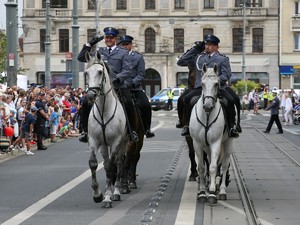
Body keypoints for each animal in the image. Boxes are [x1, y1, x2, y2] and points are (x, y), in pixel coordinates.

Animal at [84, 51, 127, 208]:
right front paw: (97, 194)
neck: (103, 111)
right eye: (86, 73)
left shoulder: (115, 142)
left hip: (124, 142)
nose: (90, 95)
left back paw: (118, 190)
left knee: (119, 162)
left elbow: (112, 167)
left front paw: (108, 197)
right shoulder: (94, 141)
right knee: (108, 163)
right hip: (103, 145)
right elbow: (94, 164)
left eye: (100, 72)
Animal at [189, 62, 233, 204]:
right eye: (202, 84)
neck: (207, 115)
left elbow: (213, 167)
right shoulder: (197, 143)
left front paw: (212, 193)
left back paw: (222, 191)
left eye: (216, 84)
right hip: (206, 147)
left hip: (228, 142)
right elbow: (202, 168)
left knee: (224, 165)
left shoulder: (215, 143)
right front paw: (203, 192)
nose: (207, 106)